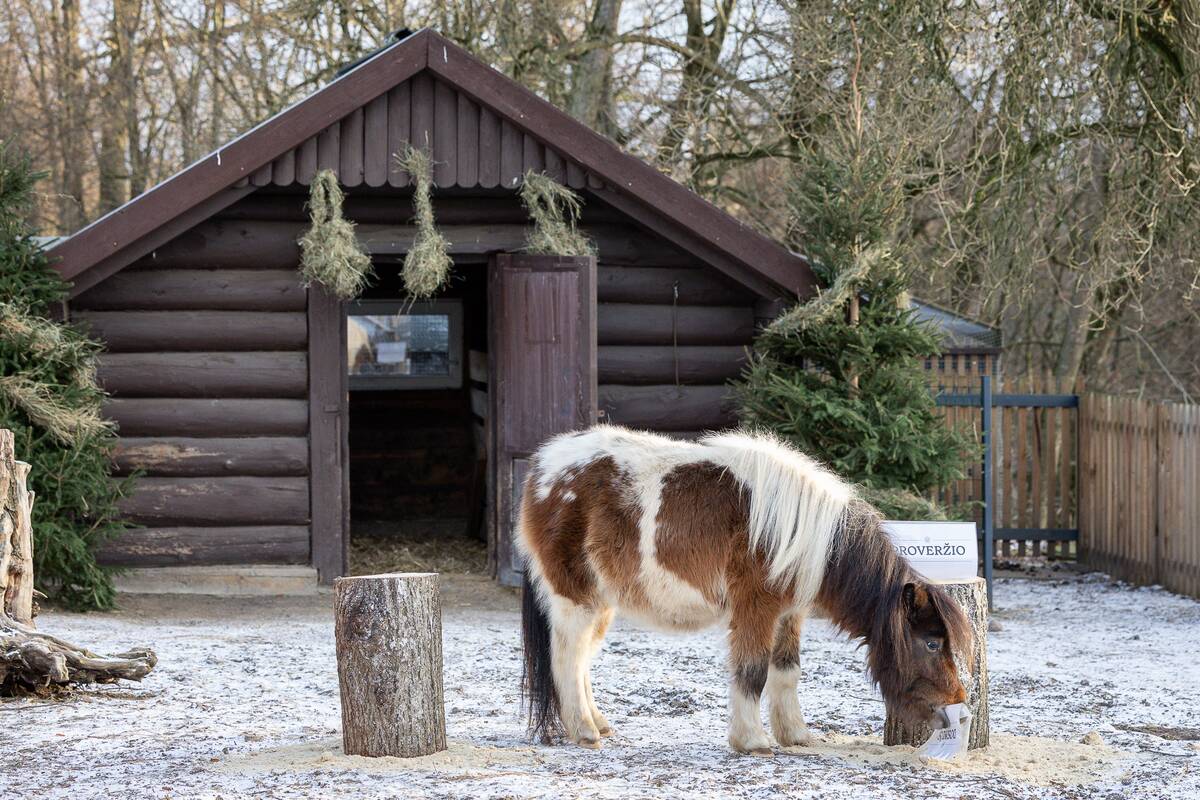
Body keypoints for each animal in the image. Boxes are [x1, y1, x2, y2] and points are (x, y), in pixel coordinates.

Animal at [516, 424, 972, 755]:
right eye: (932, 643)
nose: (957, 701)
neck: (807, 535)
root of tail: (542, 468)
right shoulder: (756, 608)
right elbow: (753, 672)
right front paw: (752, 741)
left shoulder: (790, 613)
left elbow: (787, 672)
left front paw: (795, 735)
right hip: (576, 598)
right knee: (567, 658)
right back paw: (583, 731)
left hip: (602, 602)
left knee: (581, 659)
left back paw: (598, 723)